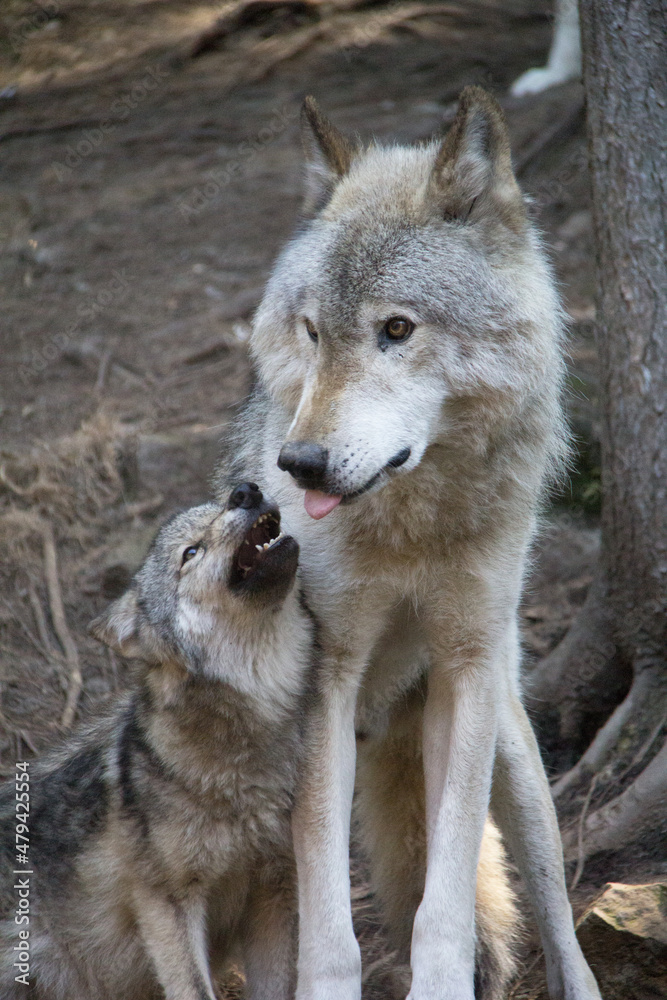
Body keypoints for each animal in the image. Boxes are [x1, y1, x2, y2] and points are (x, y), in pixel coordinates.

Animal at [0, 484, 311, 1000]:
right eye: (190, 553)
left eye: (222, 506)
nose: (245, 491)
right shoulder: (166, 902)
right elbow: (194, 989)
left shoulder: (275, 887)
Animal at [214, 88, 602, 1000]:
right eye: (313, 332)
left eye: (396, 329)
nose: (299, 463)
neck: (412, 525)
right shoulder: (327, 683)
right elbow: (330, 926)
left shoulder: (464, 669)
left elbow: (445, 904)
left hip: (509, 743)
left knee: (551, 907)